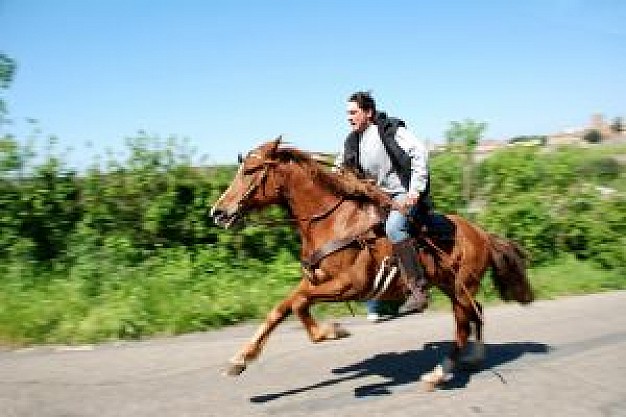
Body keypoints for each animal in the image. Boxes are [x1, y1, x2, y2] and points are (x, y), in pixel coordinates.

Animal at [211, 137, 532, 386]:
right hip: (452, 287)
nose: (218, 212)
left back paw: (439, 373)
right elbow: (280, 309)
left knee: (463, 327)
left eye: (250, 171)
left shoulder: (349, 285)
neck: (332, 221)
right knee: (476, 312)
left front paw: (332, 331)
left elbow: (300, 304)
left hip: (460, 288)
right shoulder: (316, 280)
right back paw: (474, 357)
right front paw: (240, 359)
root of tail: (482, 234)